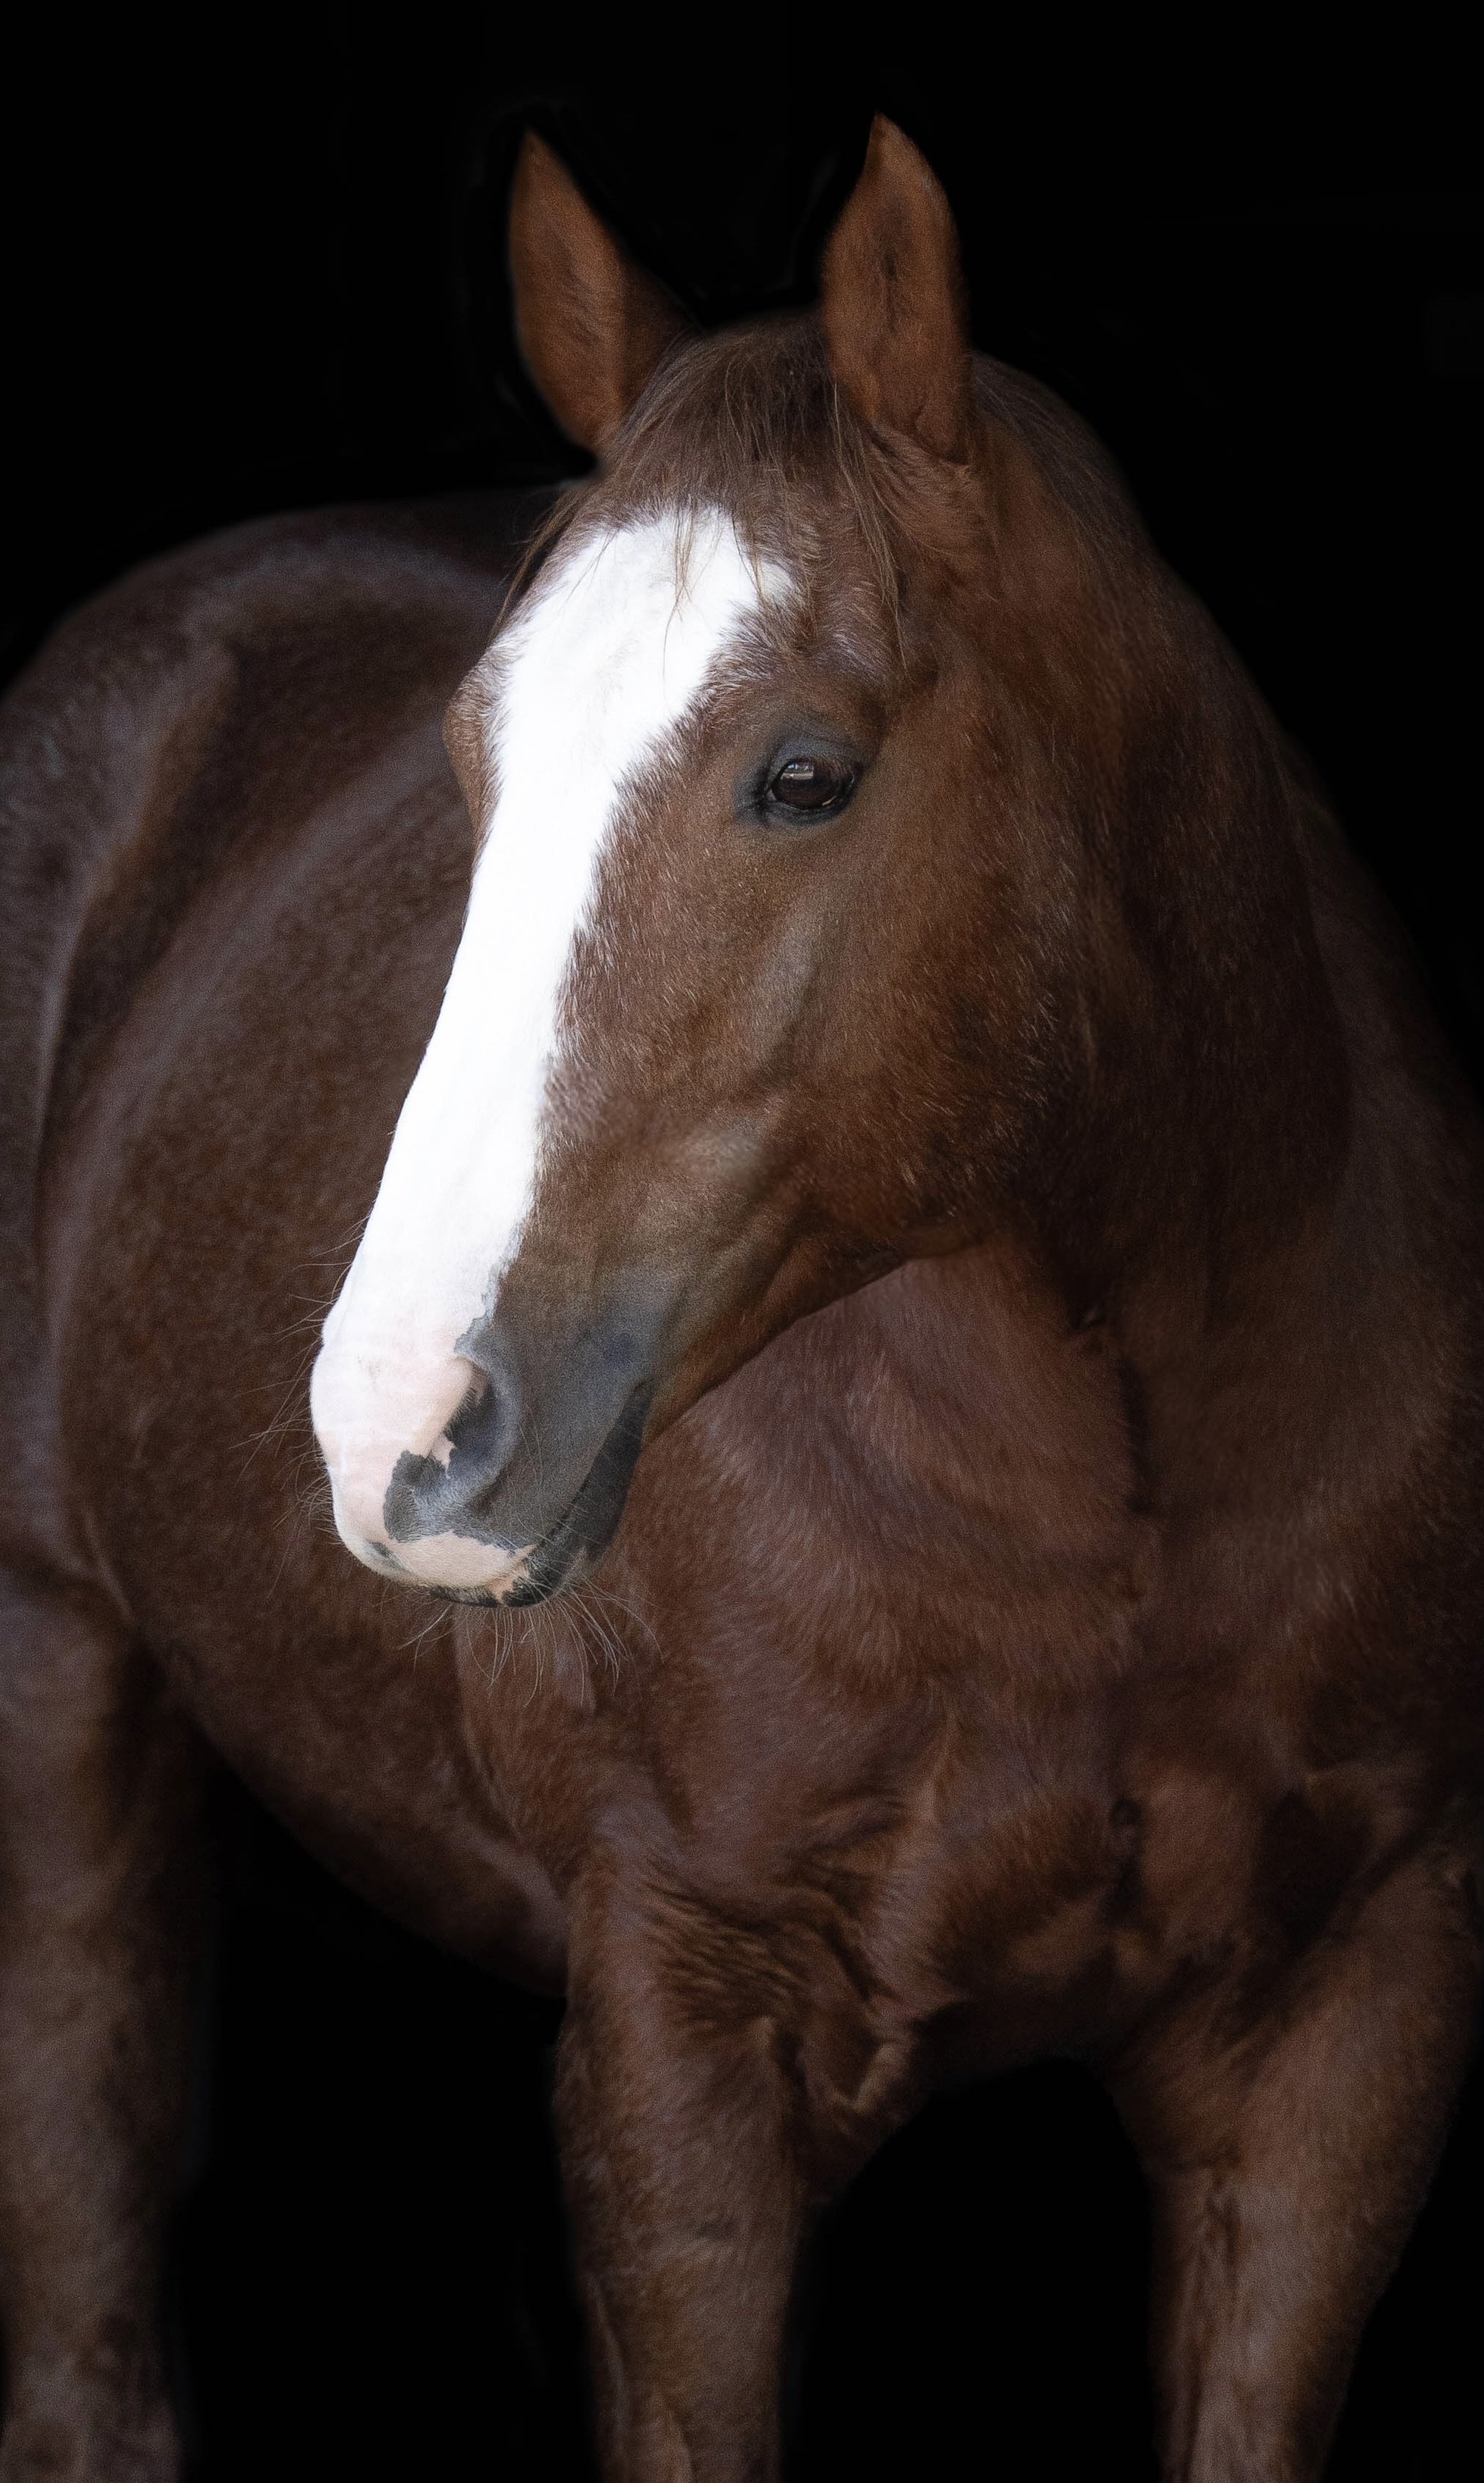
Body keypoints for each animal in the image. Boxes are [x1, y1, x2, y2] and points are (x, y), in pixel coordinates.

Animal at [2, 112, 1481, 2482]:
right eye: (471, 762)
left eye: (804, 772)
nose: (397, 1425)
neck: (1105, 1491)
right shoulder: (683, 2059)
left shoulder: (1350, 2031)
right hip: (59, 1666)